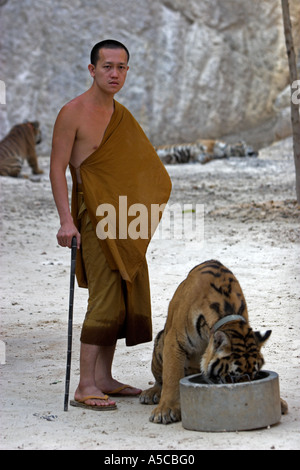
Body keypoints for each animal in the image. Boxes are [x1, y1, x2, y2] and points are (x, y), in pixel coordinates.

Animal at [139, 258, 288, 424]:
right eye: (230, 377)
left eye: (254, 376)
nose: (244, 398)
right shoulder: (175, 341)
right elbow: (171, 375)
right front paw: (165, 410)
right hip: (160, 343)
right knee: (160, 379)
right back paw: (151, 393)